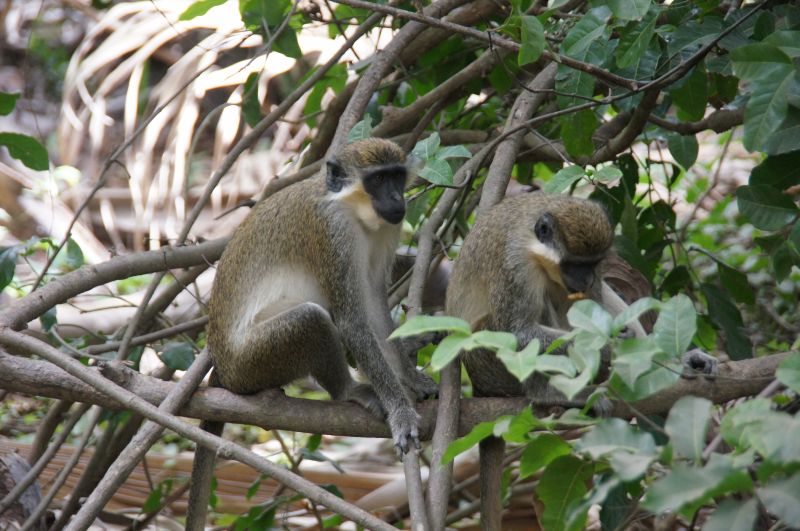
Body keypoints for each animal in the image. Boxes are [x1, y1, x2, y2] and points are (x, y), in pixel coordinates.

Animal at [186, 138, 438, 530]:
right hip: (251, 363)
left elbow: (374, 305)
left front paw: (408, 377)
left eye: (396, 176)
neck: (353, 210)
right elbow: (351, 320)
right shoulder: (331, 232)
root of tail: (224, 368)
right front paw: (400, 410)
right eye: (378, 180)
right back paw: (348, 390)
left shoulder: (387, 229)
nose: (397, 198)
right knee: (312, 319)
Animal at [444, 192, 716, 530]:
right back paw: (548, 392)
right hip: (490, 364)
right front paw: (610, 350)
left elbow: (593, 303)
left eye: (593, 264)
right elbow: (518, 333)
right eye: (574, 263)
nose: (584, 278)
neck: (534, 243)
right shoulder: (514, 265)